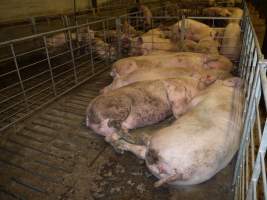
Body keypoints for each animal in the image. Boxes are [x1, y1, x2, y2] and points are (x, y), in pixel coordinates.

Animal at [86, 76, 216, 138]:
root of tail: (89, 114)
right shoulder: (176, 89)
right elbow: (178, 107)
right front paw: (180, 116)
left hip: (108, 128)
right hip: (121, 105)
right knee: (112, 122)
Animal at [109, 77, 245, 187]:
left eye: (219, 80)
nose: (214, 79)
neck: (232, 95)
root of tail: (182, 172)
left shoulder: (195, 100)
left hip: (159, 139)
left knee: (141, 147)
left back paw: (124, 139)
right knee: (141, 153)